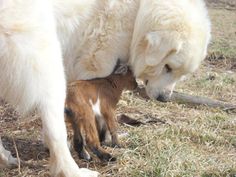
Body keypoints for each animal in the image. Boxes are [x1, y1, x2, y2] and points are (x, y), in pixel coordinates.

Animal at [0, 0, 210, 176]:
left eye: (181, 74)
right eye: (167, 67)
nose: (164, 99)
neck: (138, 11)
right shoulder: (97, 63)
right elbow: (98, 118)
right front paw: (107, 141)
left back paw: (6, 158)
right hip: (48, 64)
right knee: (56, 131)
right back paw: (73, 170)